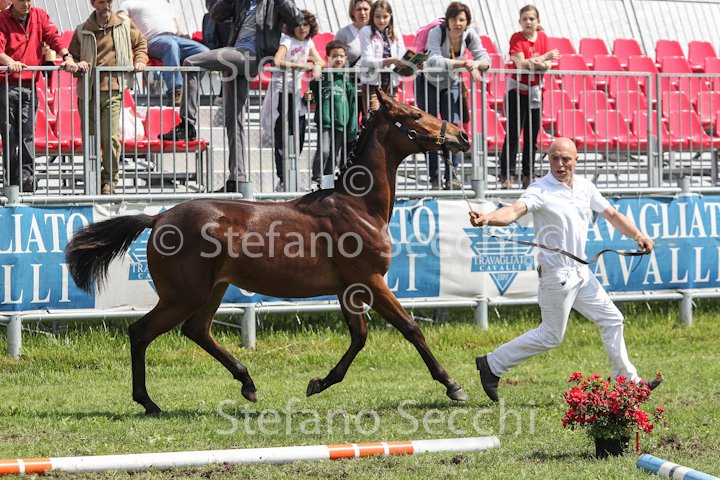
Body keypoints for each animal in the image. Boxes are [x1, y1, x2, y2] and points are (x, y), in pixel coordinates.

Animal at [65, 88, 471, 415]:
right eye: (415, 114)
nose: (462, 136)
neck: (358, 206)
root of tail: (159, 216)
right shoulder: (370, 281)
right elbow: (410, 328)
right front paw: (453, 385)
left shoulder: (348, 289)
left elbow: (359, 336)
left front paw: (318, 383)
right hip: (184, 295)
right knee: (141, 331)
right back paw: (148, 401)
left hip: (212, 290)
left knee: (196, 330)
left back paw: (247, 383)